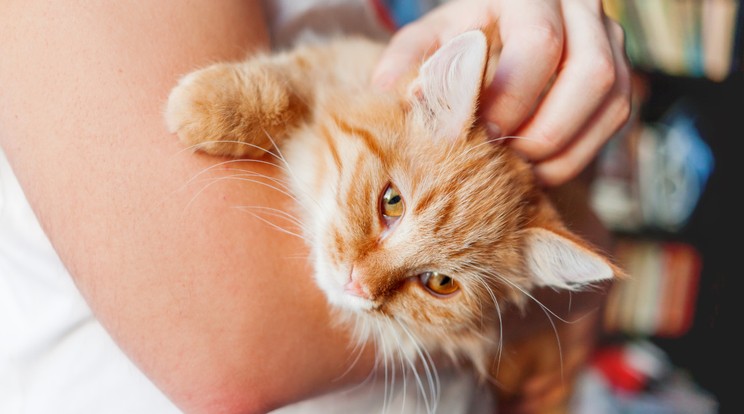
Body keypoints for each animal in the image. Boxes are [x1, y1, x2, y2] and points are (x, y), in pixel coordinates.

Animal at [164, 27, 620, 412]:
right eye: (392, 202)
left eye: (440, 282)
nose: (357, 284)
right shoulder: (346, 60)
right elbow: (287, 85)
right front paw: (210, 105)